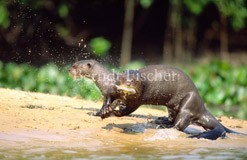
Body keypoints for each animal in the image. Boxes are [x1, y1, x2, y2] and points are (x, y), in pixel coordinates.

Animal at [69, 59, 243, 139]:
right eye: (74, 64)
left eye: (135, 81)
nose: (70, 69)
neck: (106, 81)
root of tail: (202, 107)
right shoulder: (109, 93)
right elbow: (105, 104)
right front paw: (98, 113)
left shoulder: (137, 100)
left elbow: (127, 111)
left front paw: (115, 112)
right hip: (172, 106)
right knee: (173, 118)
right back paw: (161, 120)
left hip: (189, 101)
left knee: (180, 124)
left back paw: (163, 126)